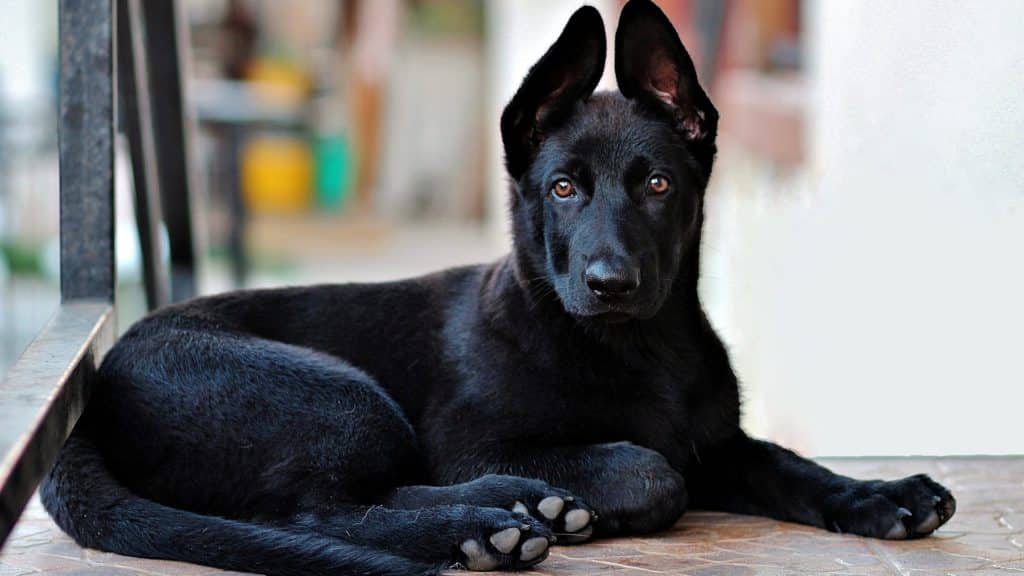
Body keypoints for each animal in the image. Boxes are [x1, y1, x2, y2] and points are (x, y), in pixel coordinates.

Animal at [37, 2, 950, 569]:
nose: (610, 282)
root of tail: (97, 389)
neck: (637, 347)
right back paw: (488, 526)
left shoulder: (718, 442)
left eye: (659, 186)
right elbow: (652, 470)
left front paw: (882, 494)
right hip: (343, 397)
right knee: (310, 510)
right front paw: (596, 497)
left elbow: (786, 465)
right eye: (563, 188)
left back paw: (522, 510)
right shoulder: (470, 437)